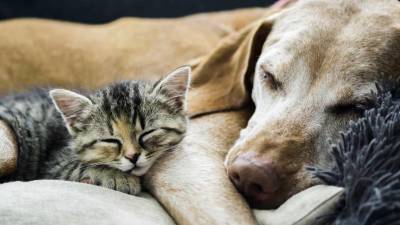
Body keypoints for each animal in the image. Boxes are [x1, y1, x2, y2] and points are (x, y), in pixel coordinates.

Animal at [0, 66, 191, 194]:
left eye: (147, 133)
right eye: (110, 140)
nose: (133, 156)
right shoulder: (53, 165)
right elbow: (82, 166)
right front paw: (120, 177)